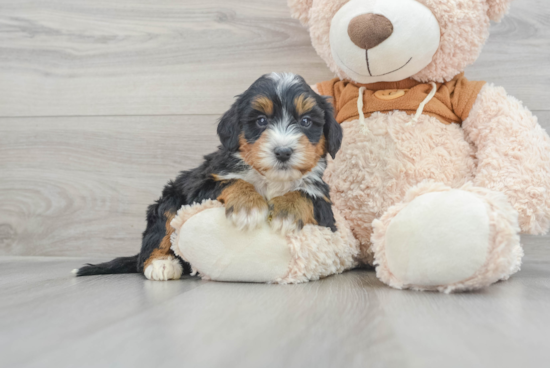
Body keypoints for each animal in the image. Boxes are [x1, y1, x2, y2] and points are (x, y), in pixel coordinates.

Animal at [75, 74, 342, 282]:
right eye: (261, 121)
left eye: (306, 121)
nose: (283, 152)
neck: (270, 179)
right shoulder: (202, 183)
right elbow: (233, 181)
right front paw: (248, 206)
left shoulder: (325, 205)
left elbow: (305, 195)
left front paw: (287, 212)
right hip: (169, 200)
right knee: (153, 241)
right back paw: (162, 265)